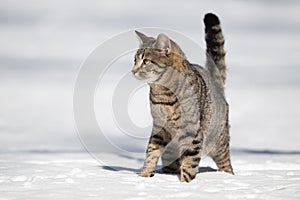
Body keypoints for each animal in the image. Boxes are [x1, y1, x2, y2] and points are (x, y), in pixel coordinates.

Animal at [132, 13, 234, 182]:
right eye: (135, 60)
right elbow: (151, 152)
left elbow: (190, 162)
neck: (163, 95)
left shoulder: (193, 131)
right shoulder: (159, 127)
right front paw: (144, 176)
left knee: (226, 164)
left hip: (219, 142)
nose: (133, 71)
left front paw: (185, 183)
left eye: (146, 61)